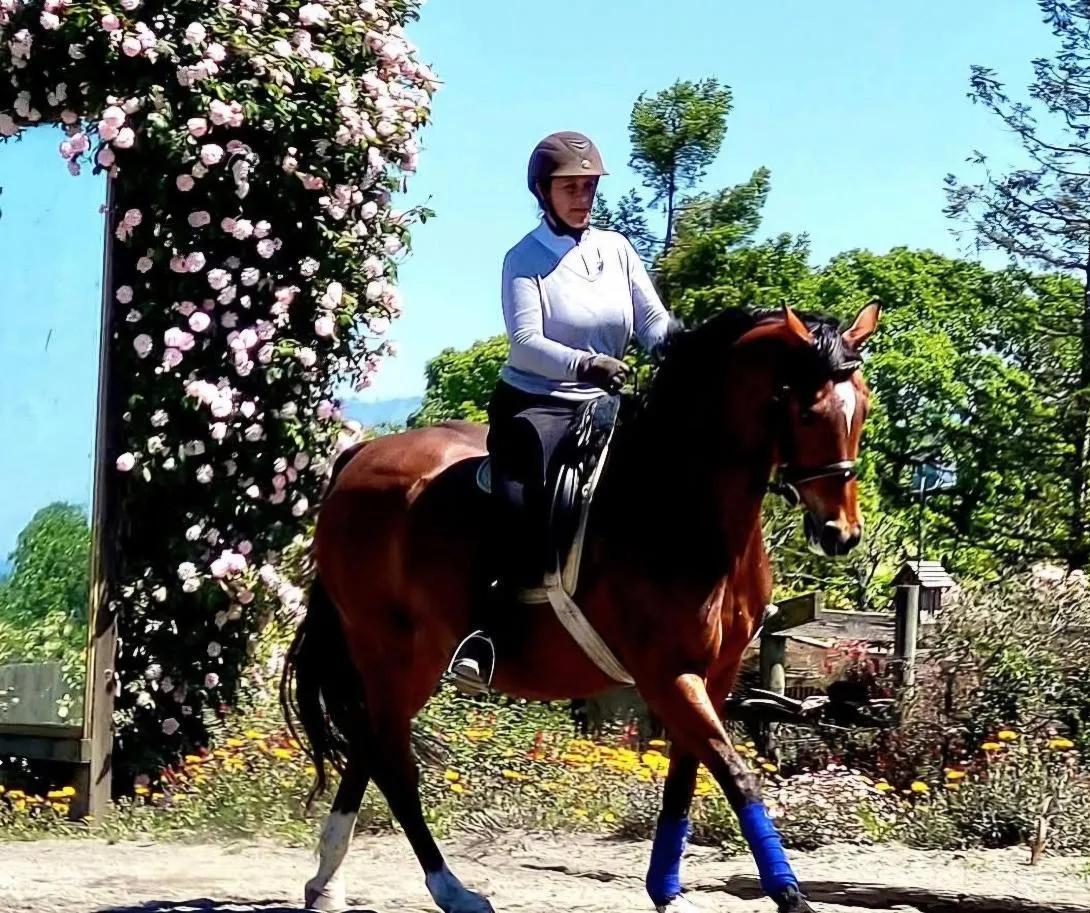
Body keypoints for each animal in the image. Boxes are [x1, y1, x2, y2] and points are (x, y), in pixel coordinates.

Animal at [281, 301, 881, 913]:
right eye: (807, 413)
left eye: (862, 406)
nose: (841, 534)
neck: (682, 507)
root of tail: (360, 458)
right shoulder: (667, 675)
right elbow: (736, 774)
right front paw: (789, 894)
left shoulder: (714, 674)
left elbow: (685, 778)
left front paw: (666, 891)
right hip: (394, 651)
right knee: (392, 762)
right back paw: (451, 889)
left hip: (398, 662)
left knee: (371, 746)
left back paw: (327, 882)